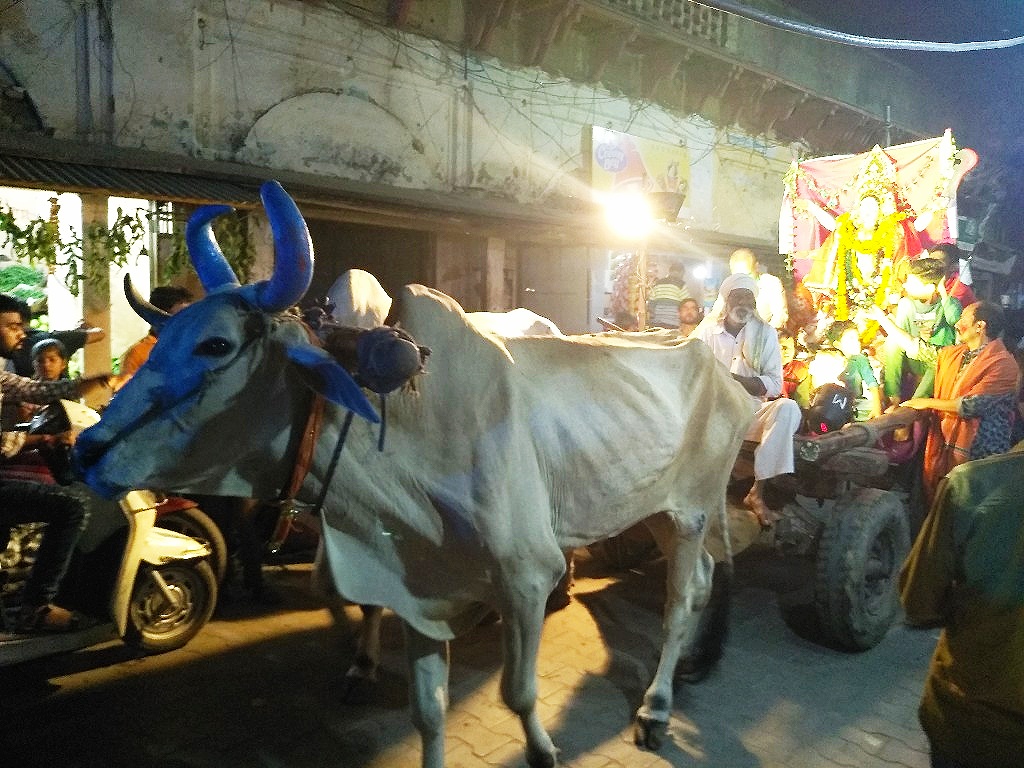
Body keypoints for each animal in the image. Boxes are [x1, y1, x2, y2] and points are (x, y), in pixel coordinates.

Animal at [75, 182, 753, 768]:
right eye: (163, 337)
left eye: (215, 345)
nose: (86, 449)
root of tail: (715, 365)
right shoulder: (421, 590)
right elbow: (427, 713)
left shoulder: (527, 576)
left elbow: (519, 693)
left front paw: (542, 749)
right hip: (657, 511)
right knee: (700, 582)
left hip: (691, 511)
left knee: (677, 601)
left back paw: (657, 707)